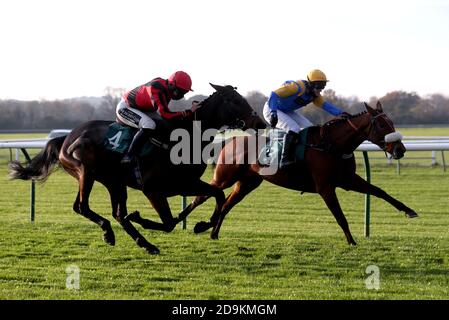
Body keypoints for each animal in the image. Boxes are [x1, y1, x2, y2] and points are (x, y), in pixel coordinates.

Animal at [8, 84, 266, 254]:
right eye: (236, 101)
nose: (260, 123)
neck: (184, 138)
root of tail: (66, 137)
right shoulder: (153, 188)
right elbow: (169, 223)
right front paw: (141, 217)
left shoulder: (183, 184)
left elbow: (217, 195)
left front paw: (203, 225)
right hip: (86, 172)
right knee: (83, 207)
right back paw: (112, 233)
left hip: (113, 181)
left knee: (114, 213)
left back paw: (143, 243)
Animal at [178, 102, 416, 245]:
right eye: (382, 125)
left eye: (391, 123)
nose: (400, 150)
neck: (332, 145)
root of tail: (231, 141)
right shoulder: (325, 187)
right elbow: (340, 217)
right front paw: (351, 241)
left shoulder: (348, 180)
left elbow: (380, 191)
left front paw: (409, 210)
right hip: (225, 177)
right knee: (205, 195)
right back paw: (190, 221)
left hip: (247, 183)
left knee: (226, 204)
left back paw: (212, 232)